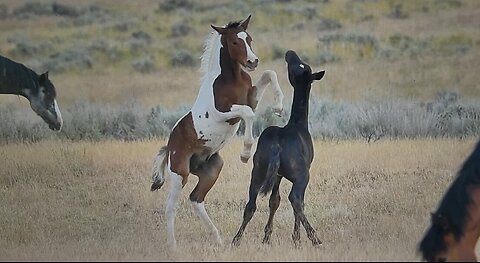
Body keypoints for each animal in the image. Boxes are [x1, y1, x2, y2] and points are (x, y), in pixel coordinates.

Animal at [151, 15, 284, 251]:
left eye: (249, 39)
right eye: (234, 42)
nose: (252, 62)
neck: (230, 78)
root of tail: (169, 145)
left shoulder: (252, 97)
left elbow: (270, 74)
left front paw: (279, 106)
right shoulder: (223, 112)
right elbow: (248, 113)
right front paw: (245, 153)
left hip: (212, 169)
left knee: (196, 199)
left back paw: (217, 237)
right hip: (180, 174)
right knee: (170, 207)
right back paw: (173, 246)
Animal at [232, 50, 326, 248]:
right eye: (295, 66)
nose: (290, 53)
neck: (298, 123)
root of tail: (277, 145)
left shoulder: (277, 175)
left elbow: (273, 201)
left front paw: (267, 237)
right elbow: (296, 202)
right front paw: (296, 238)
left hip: (258, 171)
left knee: (251, 204)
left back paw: (236, 239)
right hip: (301, 175)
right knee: (296, 199)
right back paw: (314, 238)